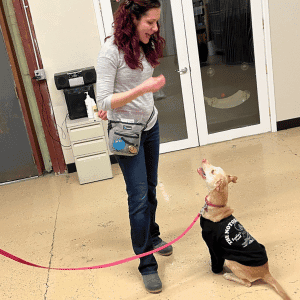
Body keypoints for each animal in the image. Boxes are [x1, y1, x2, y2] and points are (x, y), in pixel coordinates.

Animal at [197, 158, 290, 298]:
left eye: (213, 171)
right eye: (214, 168)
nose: (204, 159)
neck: (218, 207)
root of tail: (266, 272)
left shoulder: (212, 245)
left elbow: (215, 260)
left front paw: (215, 269)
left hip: (231, 261)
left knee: (248, 283)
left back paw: (229, 275)